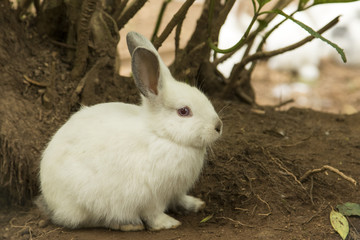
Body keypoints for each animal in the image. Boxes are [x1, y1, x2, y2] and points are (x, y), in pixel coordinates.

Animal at [37, 31, 222, 231]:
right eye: (184, 111)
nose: (218, 126)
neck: (161, 135)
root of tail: (50, 199)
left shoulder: (175, 191)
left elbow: (179, 199)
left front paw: (196, 204)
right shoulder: (150, 195)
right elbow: (154, 214)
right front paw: (169, 223)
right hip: (87, 201)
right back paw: (128, 225)